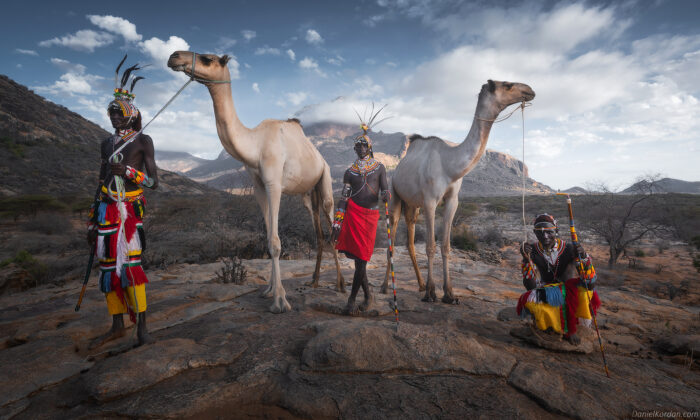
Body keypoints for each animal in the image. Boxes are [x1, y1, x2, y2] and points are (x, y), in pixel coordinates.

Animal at [170, 50, 344, 314]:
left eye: (207, 58)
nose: (174, 56)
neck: (255, 145)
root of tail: (321, 158)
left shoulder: (274, 183)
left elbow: (276, 242)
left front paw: (280, 301)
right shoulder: (259, 187)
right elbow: (268, 236)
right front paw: (270, 290)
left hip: (325, 179)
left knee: (331, 223)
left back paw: (340, 285)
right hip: (307, 194)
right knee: (319, 233)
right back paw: (314, 281)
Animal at [380, 79, 532, 302]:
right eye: (507, 84)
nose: (530, 90)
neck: (449, 165)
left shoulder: (452, 201)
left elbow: (446, 246)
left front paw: (449, 293)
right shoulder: (430, 201)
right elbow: (431, 246)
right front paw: (432, 292)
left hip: (413, 205)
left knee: (410, 238)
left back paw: (420, 284)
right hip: (394, 195)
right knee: (392, 234)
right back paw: (386, 287)